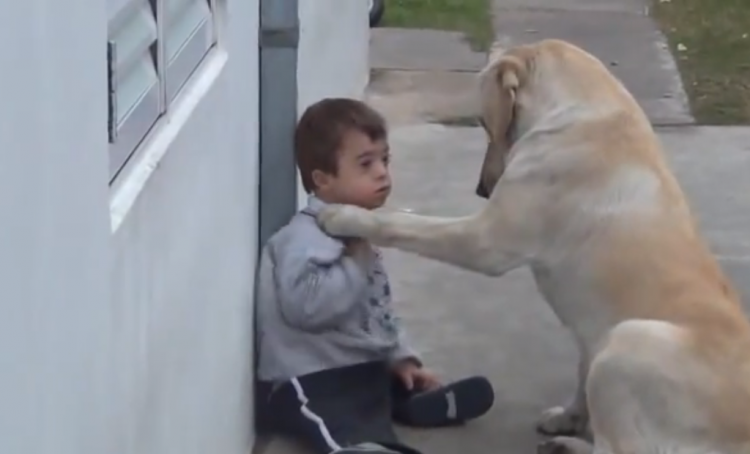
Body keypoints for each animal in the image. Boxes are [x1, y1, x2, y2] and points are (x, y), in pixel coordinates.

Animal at [320, 39, 750, 454]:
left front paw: (343, 215)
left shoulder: (483, 240)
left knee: (620, 449)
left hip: (628, 341)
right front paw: (570, 416)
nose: (482, 189)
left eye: (483, 121)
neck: (585, 110)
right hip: (608, 341)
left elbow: (403, 223)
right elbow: (581, 371)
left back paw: (569, 447)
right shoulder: (586, 330)